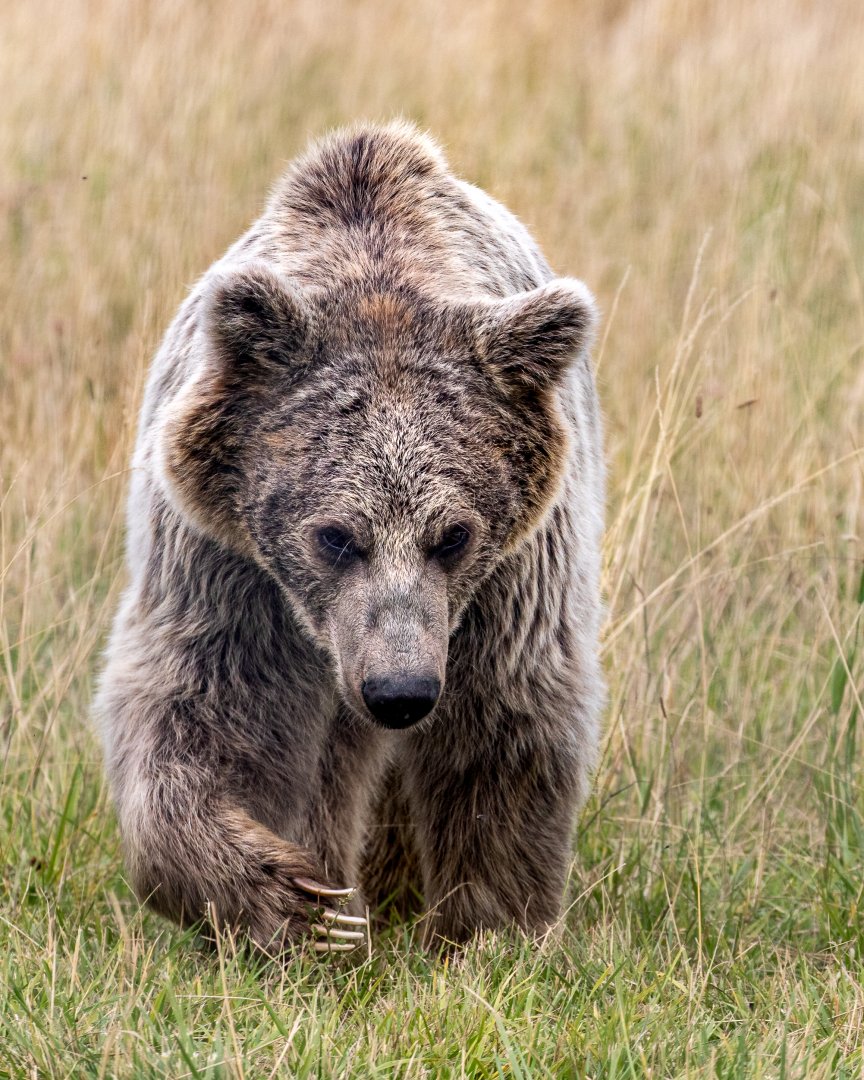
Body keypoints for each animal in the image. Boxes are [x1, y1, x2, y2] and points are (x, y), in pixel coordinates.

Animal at [94, 120, 605, 955]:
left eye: (452, 535)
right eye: (335, 536)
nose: (400, 693)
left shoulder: (514, 577)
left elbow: (504, 724)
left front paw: (492, 928)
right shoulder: (227, 565)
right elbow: (199, 711)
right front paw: (294, 901)